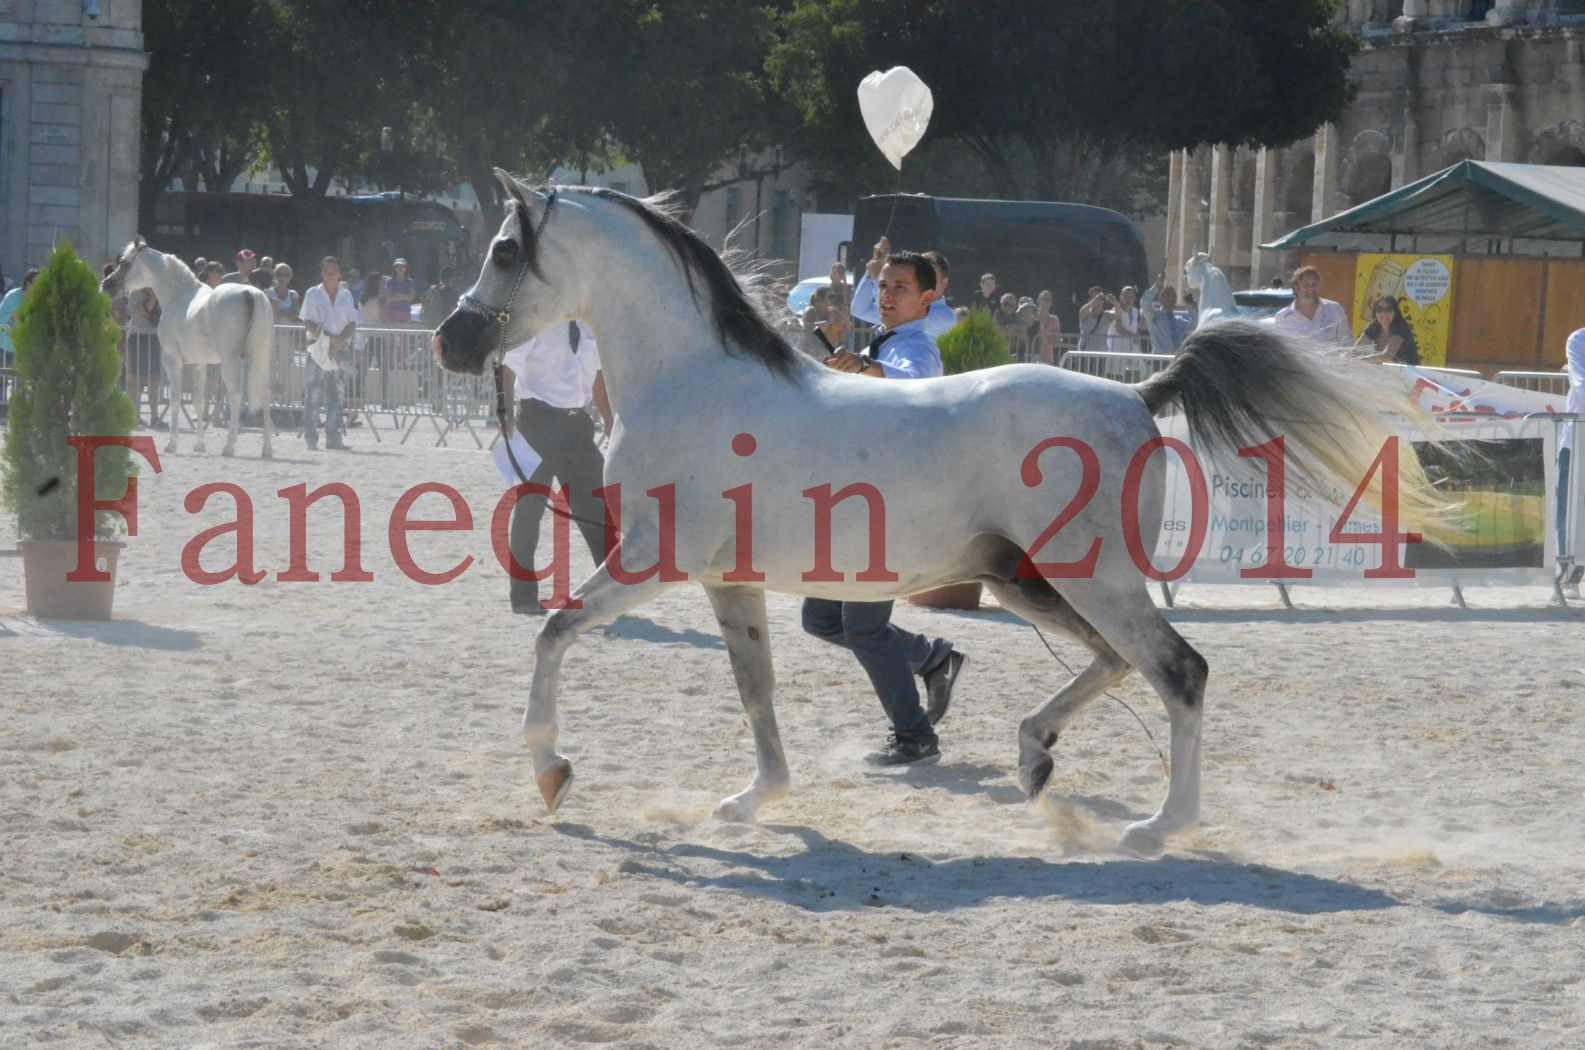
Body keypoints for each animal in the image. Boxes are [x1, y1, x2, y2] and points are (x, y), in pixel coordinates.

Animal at [102, 241, 275, 459]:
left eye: (124, 263)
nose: (106, 285)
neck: (178, 296)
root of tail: (251, 293)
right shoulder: (199, 363)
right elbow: (198, 401)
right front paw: (199, 445)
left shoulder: (172, 360)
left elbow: (176, 399)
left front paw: (171, 444)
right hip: (260, 358)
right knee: (266, 395)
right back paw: (267, 449)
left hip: (230, 361)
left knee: (236, 396)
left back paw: (229, 447)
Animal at [427, 172, 1445, 862]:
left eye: (506, 250)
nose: (450, 341)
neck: (693, 381)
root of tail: (1136, 393)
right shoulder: (729, 582)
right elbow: (756, 692)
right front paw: (752, 801)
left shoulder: (650, 561)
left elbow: (555, 630)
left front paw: (551, 772)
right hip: (1025, 578)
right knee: (1116, 663)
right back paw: (1034, 760)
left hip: (1085, 577)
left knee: (1177, 670)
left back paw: (1158, 827)